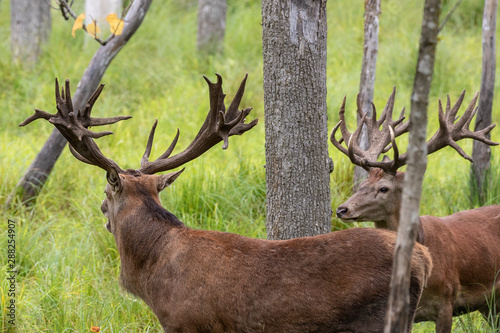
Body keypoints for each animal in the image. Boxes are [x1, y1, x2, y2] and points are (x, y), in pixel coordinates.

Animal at [21, 76, 432, 330]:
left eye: (106, 194)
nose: (103, 214)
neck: (150, 275)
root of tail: (422, 259)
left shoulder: (185, 321)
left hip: (377, 318)